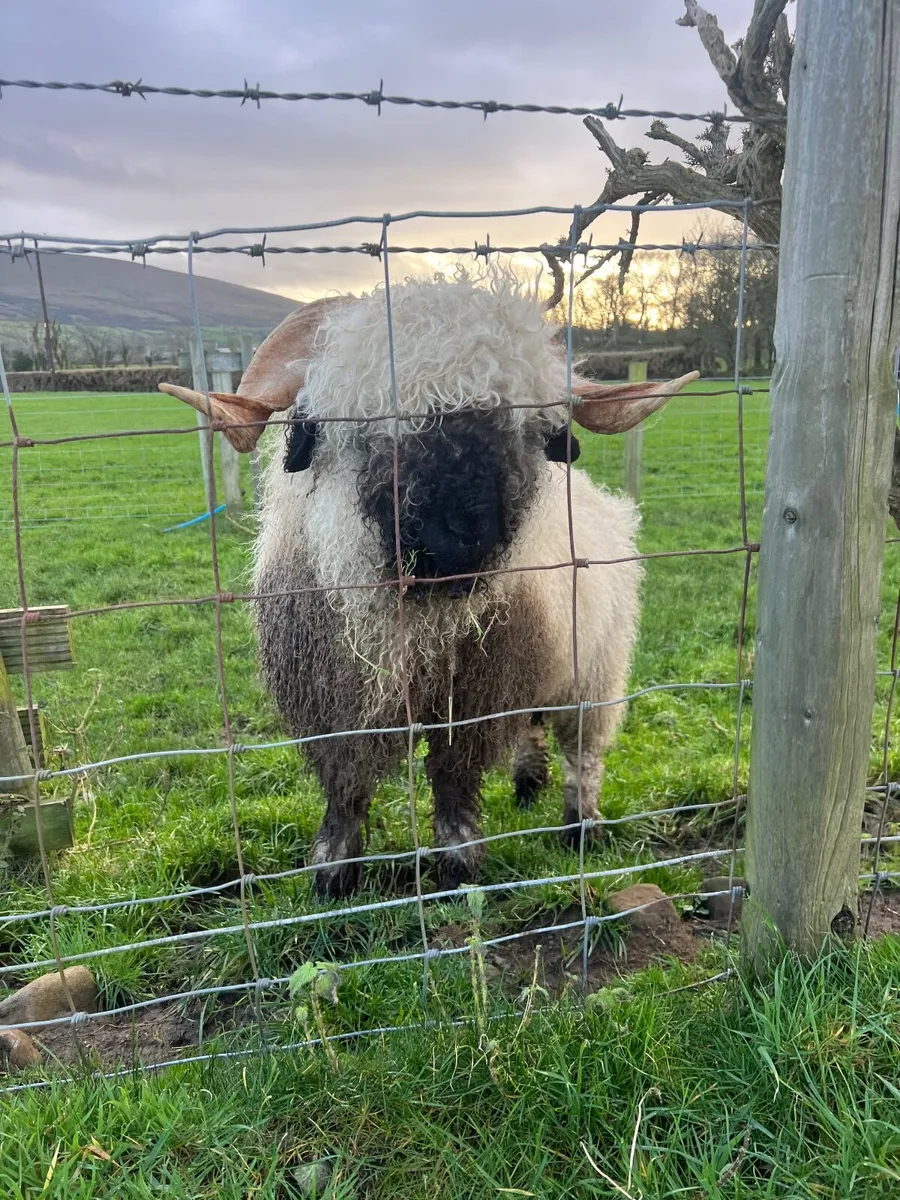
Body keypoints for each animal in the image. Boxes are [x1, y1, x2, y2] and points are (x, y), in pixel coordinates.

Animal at [160, 272, 697, 897]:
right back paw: (527, 785)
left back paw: (580, 824)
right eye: (364, 421)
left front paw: (459, 866)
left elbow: (452, 778)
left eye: (533, 431)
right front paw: (333, 873)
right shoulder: (333, 703)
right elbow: (346, 786)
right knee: (535, 731)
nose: (461, 536)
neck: (415, 620)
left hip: (596, 672)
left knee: (583, 752)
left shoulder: (476, 698)